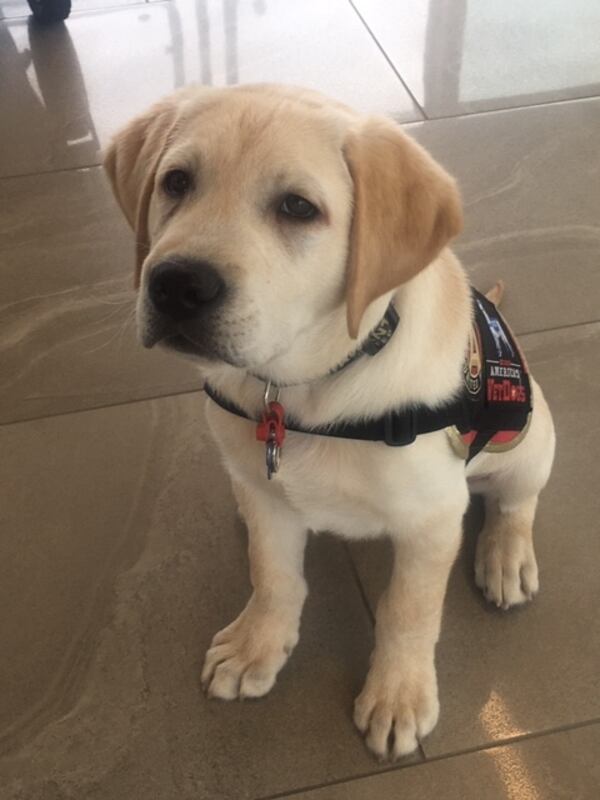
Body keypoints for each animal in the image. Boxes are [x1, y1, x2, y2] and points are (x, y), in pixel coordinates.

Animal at [105, 84, 556, 760]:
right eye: (176, 182)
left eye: (298, 207)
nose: (177, 285)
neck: (304, 390)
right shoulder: (268, 493)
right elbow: (274, 575)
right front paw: (259, 644)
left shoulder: (432, 520)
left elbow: (408, 611)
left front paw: (399, 695)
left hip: (529, 435)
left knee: (514, 500)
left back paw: (505, 556)